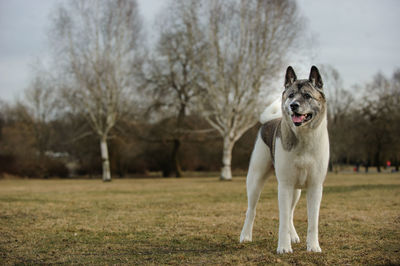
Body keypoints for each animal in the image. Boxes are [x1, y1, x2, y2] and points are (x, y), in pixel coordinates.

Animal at [239, 65, 330, 254]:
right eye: (290, 95)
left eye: (307, 96)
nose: (293, 105)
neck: (304, 138)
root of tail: (270, 120)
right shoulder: (284, 186)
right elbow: (282, 219)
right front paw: (283, 247)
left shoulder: (315, 187)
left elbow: (312, 221)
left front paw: (313, 246)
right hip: (255, 181)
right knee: (251, 210)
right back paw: (245, 236)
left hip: (296, 190)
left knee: (291, 214)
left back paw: (293, 236)